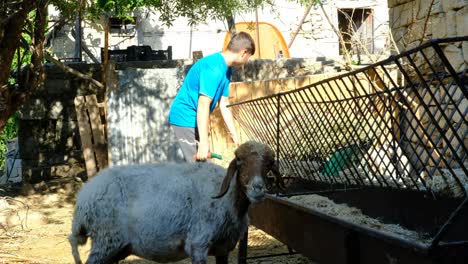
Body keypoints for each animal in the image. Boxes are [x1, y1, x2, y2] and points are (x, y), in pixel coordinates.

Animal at [68, 142, 280, 264]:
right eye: (240, 162)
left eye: (268, 164)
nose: (258, 189)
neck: (228, 200)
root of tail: (83, 198)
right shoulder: (198, 244)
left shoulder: (223, 248)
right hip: (106, 240)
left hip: (115, 247)